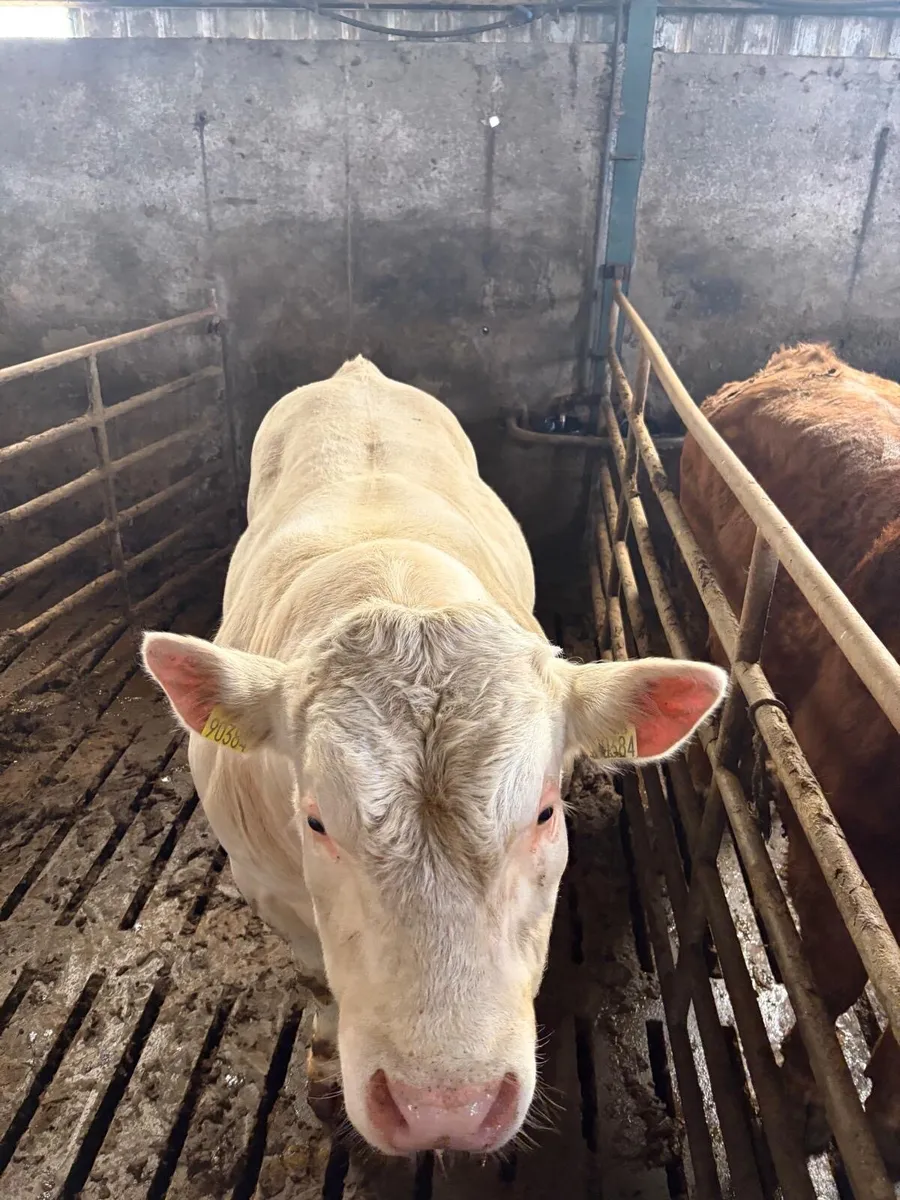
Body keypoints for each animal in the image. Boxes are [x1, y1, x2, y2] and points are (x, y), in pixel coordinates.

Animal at [142, 357, 726, 1155]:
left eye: (545, 812)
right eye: (316, 821)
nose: (443, 1109)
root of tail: (355, 371)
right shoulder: (264, 883)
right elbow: (317, 979)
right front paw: (323, 1074)